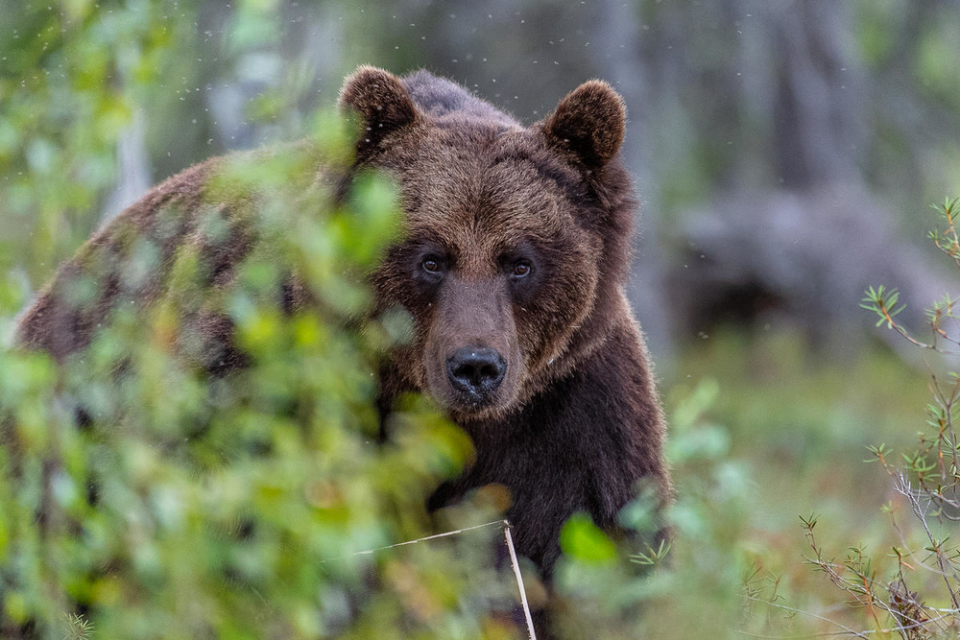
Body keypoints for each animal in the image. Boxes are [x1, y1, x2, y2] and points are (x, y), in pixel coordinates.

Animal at [13, 65, 668, 632]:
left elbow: (584, 547)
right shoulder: (261, 361)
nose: (476, 368)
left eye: (520, 262)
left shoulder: (570, 408)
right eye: (431, 258)